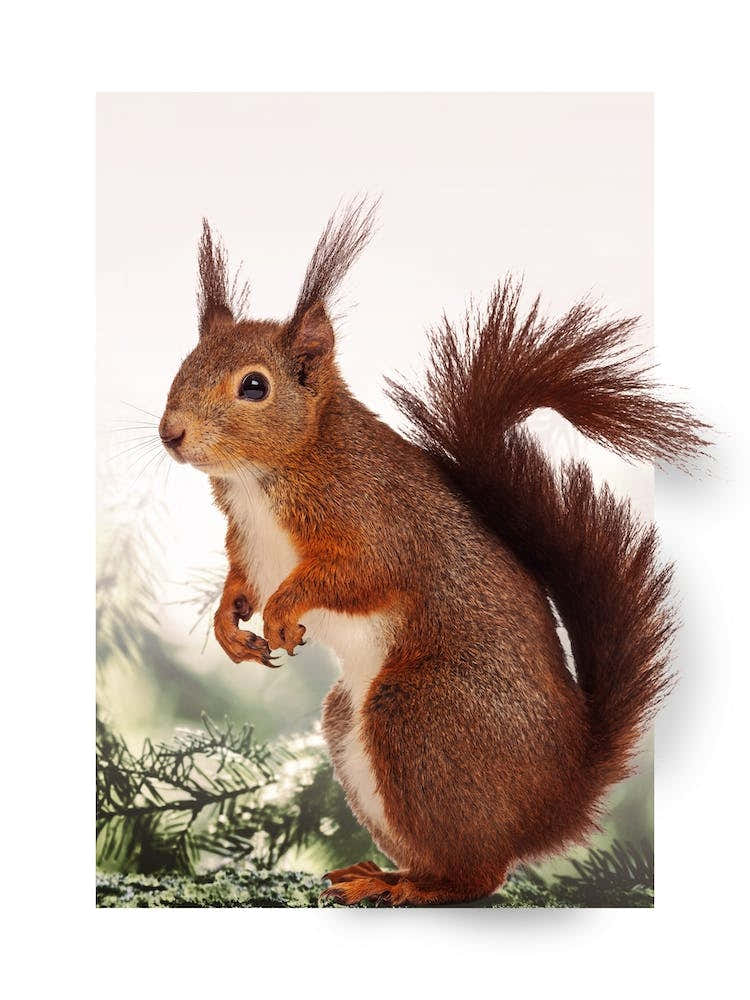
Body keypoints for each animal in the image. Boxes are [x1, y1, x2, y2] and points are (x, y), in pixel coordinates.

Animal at [159, 198, 707, 905]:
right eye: (185, 361)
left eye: (254, 387)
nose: (170, 433)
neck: (264, 478)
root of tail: (556, 801)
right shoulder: (247, 544)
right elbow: (239, 581)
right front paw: (230, 627)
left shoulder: (375, 524)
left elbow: (354, 576)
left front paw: (283, 611)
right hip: (353, 725)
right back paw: (384, 874)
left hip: (418, 715)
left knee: (480, 875)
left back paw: (412, 889)